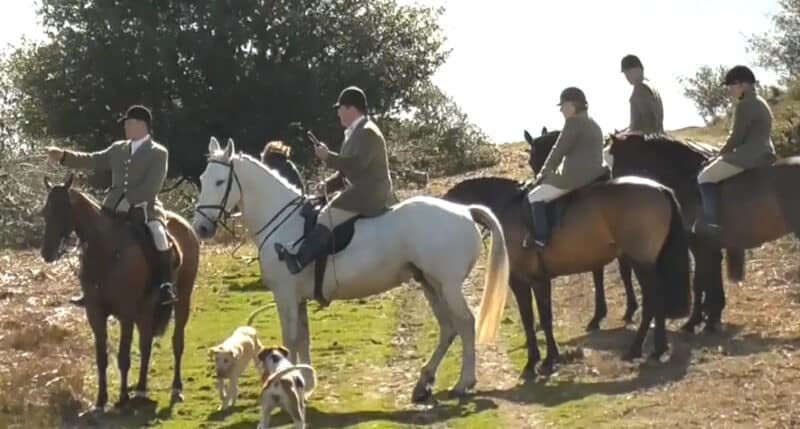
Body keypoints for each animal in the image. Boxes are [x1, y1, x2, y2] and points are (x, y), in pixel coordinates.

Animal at [39, 173, 200, 412]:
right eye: (45, 212)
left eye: (63, 211)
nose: (47, 253)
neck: (106, 250)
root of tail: (185, 225)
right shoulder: (95, 313)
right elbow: (101, 358)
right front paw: (101, 400)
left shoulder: (126, 313)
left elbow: (123, 357)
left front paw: (122, 398)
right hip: (146, 309)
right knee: (146, 345)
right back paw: (141, 388)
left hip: (181, 301)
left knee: (177, 342)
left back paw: (176, 388)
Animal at [191, 138, 510, 402]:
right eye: (203, 179)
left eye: (220, 181)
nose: (201, 229)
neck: (283, 223)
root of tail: (465, 210)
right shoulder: (298, 298)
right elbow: (303, 339)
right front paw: (306, 381)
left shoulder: (285, 296)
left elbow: (290, 340)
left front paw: (288, 381)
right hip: (429, 283)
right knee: (448, 328)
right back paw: (424, 382)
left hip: (448, 285)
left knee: (465, 324)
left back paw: (464, 382)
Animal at [440, 171, 692, 378]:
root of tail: (660, 188)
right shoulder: (534, 281)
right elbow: (538, 318)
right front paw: (544, 360)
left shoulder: (525, 281)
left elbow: (536, 319)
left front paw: (540, 362)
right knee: (657, 300)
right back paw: (657, 349)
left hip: (641, 262)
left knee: (652, 300)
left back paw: (636, 349)